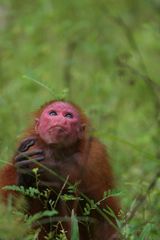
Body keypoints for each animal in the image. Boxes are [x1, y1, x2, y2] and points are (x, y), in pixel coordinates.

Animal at [0, 100, 120, 239]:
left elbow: (104, 217)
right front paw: (23, 173)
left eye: (68, 115)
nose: (60, 120)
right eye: (53, 113)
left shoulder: (94, 157)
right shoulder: (24, 147)